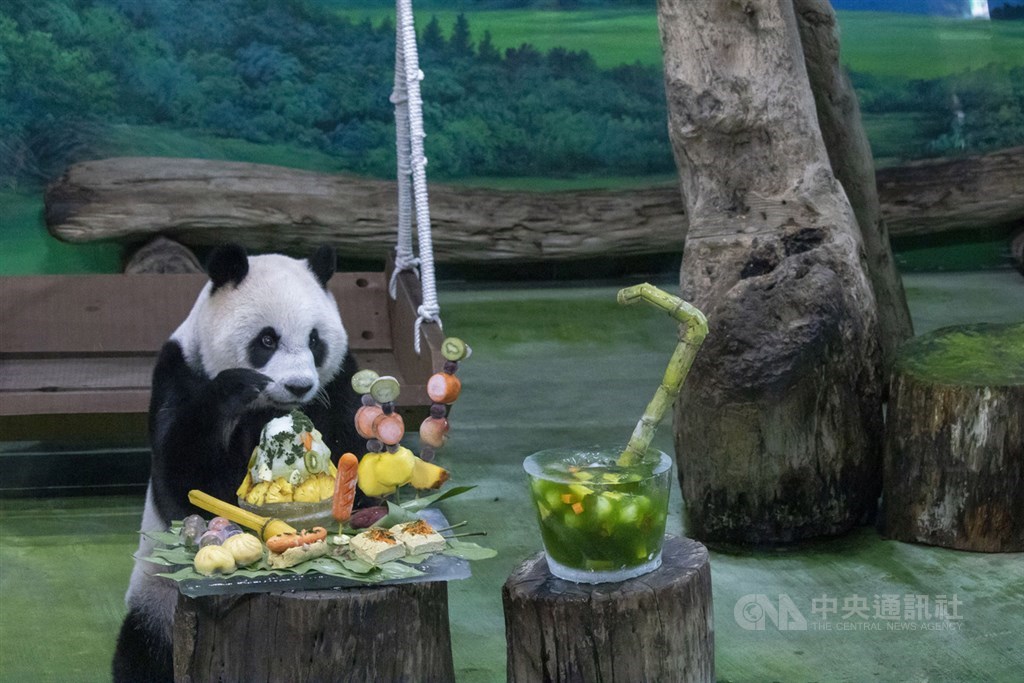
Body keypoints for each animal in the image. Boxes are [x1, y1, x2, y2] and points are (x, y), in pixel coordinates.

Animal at [113, 242, 364, 679]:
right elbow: (182, 478)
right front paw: (236, 388)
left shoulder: (335, 385)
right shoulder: (180, 370)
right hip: (157, 596)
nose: (299, 386)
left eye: (315, 340)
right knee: (140, 653)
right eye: (267, 339)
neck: (268, 408)